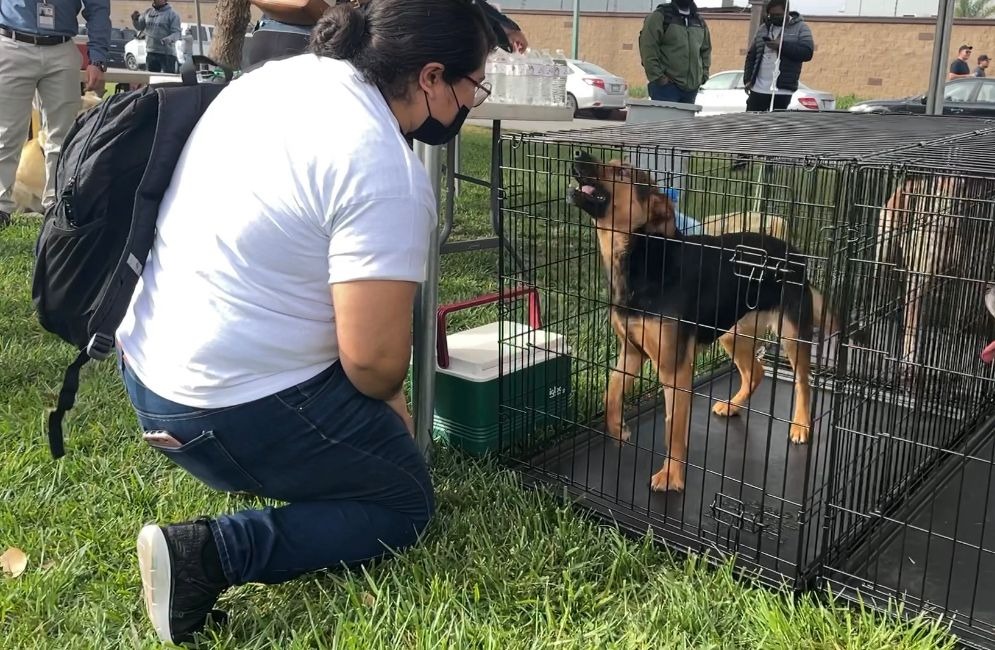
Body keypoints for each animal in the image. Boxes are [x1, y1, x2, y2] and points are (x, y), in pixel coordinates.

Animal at [564, 151, 836, 492]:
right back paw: (733, 406)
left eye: (623, 172)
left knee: (803, 382)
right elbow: (611, 392)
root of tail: (795, 252)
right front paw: (617, 428)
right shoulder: (632, 352)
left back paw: (801, 425)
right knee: (756, 372)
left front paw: (671, 476)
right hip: (733, 333)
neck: (642, 260)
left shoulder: (674, 369)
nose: (578, 154)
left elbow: (673, 429)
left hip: (792, 333)